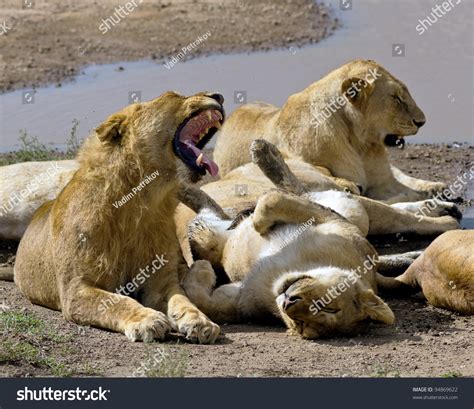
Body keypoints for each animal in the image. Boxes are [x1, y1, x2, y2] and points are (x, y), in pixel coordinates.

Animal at [12, 91, 224, 342]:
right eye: (173, 96)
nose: (218, 95)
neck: (140, 203)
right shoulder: (76, 289)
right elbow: (116, 302)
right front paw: (147, 320)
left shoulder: (161, 281)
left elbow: (181, 300)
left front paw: (200, 321)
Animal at [175, 140, 460, 338]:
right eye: (330, 304)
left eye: (309, 320)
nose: (289, 302)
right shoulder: (333, 222)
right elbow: (271, 201)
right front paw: (255, 220)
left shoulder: (240, 300)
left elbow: (207, 302)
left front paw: (202, 271)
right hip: (350, 211)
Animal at [215, 58, 448, 202]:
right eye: (396, 98)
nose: (422, 121)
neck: (360, 142)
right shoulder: (292, 155)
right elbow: (319, 170)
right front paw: (347, 185)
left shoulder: (384, 182)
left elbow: (407, 189)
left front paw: (432, 192)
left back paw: (436, 185)